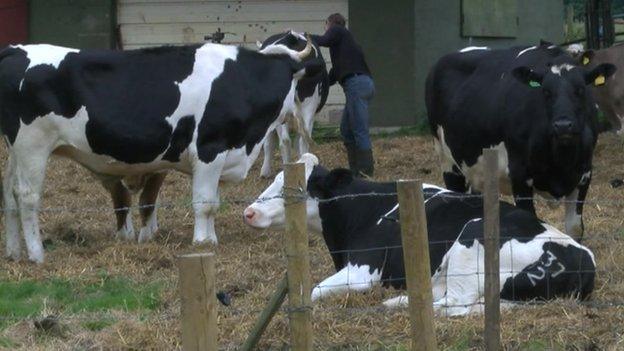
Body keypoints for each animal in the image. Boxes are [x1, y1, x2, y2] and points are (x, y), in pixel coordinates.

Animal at [0, 39, 322, 264]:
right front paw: (201, 243)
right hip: (33, 145)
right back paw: (36, 254)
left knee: (9, 193)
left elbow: (213, 203)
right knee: (27, 197)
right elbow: (204, 203)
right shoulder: (209, 150)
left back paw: (14, 252)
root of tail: (16, 50)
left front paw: (211, 239)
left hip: (16, 151)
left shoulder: (220, 158)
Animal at [244, 155, 596, 318]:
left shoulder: (363, 271)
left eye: (293, 190)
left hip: (472, 238)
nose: (248, 211)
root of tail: (583, 260)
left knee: (456, 305)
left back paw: (397, 302)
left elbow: (314, 291)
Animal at [426, 41, 616, 241]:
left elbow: (575, 228)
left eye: (580, 89)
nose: (563, 125)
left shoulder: (584, 174)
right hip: (447, 161)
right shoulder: (519, 176)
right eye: (546, 91)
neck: (560, 160)